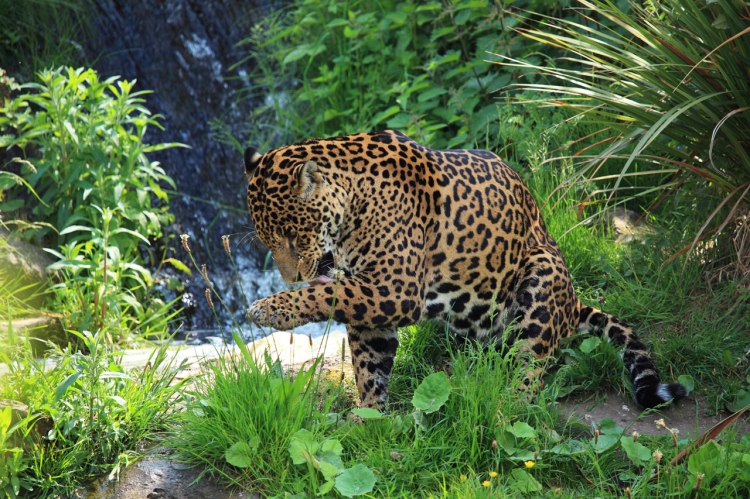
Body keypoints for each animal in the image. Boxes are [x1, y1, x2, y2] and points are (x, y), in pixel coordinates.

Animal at [244, 130, 686, 410]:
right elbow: (369, 367)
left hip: (543, 273)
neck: (354, 202)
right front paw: (367, 421)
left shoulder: (392, 289)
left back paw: (508, 405)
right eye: (267, 242)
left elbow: (325, 293)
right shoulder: (374, 305)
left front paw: (269, 308)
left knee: (531, 364)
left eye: (292, 236)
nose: (291, 278)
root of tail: (574, 304)